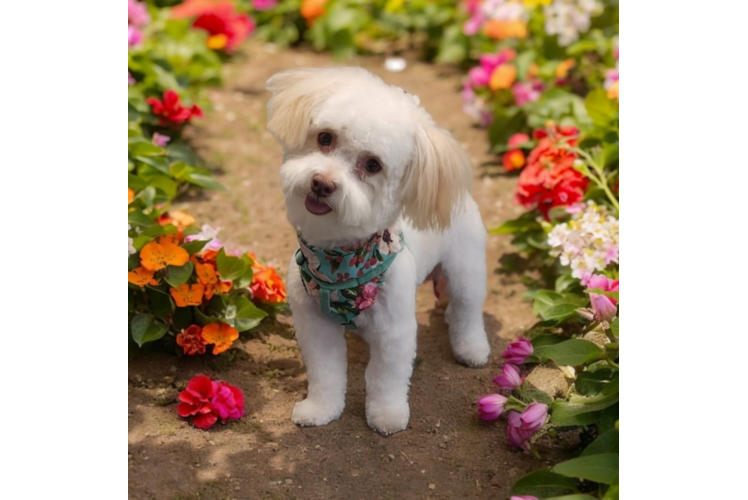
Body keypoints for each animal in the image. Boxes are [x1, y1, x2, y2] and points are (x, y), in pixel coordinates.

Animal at [268, 66, 490, 434]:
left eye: (373, 165)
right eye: (325, 138)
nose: (322, 183)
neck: (339, 264)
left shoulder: (395, 332)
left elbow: (386, 379)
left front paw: (387, 415)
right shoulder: (314, 328)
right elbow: (325, 374)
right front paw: (321, 409)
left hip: (466, 269)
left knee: (467, 311)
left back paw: (471, 348)